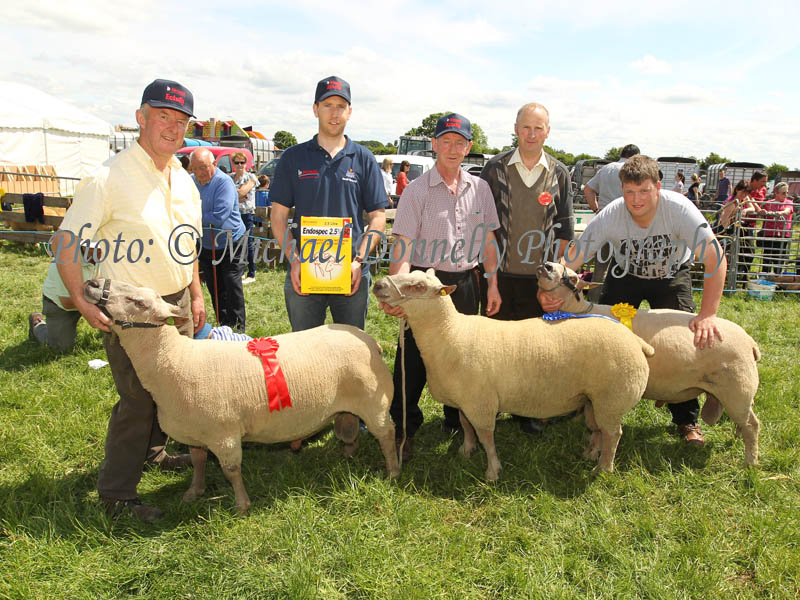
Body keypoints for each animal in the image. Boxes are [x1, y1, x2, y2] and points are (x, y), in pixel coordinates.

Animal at [81, 278, 400, 512]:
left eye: (139, 302)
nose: (93, 282)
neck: (174, 360)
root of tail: (370, 340)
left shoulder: (224, 434)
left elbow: (232, 470)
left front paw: (242, 505)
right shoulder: (196, 431)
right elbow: (198, 461)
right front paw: (193, 492)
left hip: (375, 403)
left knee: (387, 434)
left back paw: (392, 471)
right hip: (350, 404)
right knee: (348, 428)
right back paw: (347, 454)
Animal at [372, 270, 652, 480]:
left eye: (418, 286)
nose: (378, 285)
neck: (450, 332)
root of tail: (636, 341)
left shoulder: (481, 402)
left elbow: (486, 438)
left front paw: (493, 472)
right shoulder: (465, 400)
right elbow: (465, 426)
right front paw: (466, 450)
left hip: (613, 398)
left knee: (613, 434)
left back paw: (603, 469)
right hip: (595, 399)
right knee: (599, 431)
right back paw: (591, 454)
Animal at [536, 262, 760, 464]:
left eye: (574, 279)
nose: (546, 266)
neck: (579, 312)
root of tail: (751, 342)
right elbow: (595, 425)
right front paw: (590, 453)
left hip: (737, 390)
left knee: (752, 425)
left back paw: (751, 461)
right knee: (744, 423)